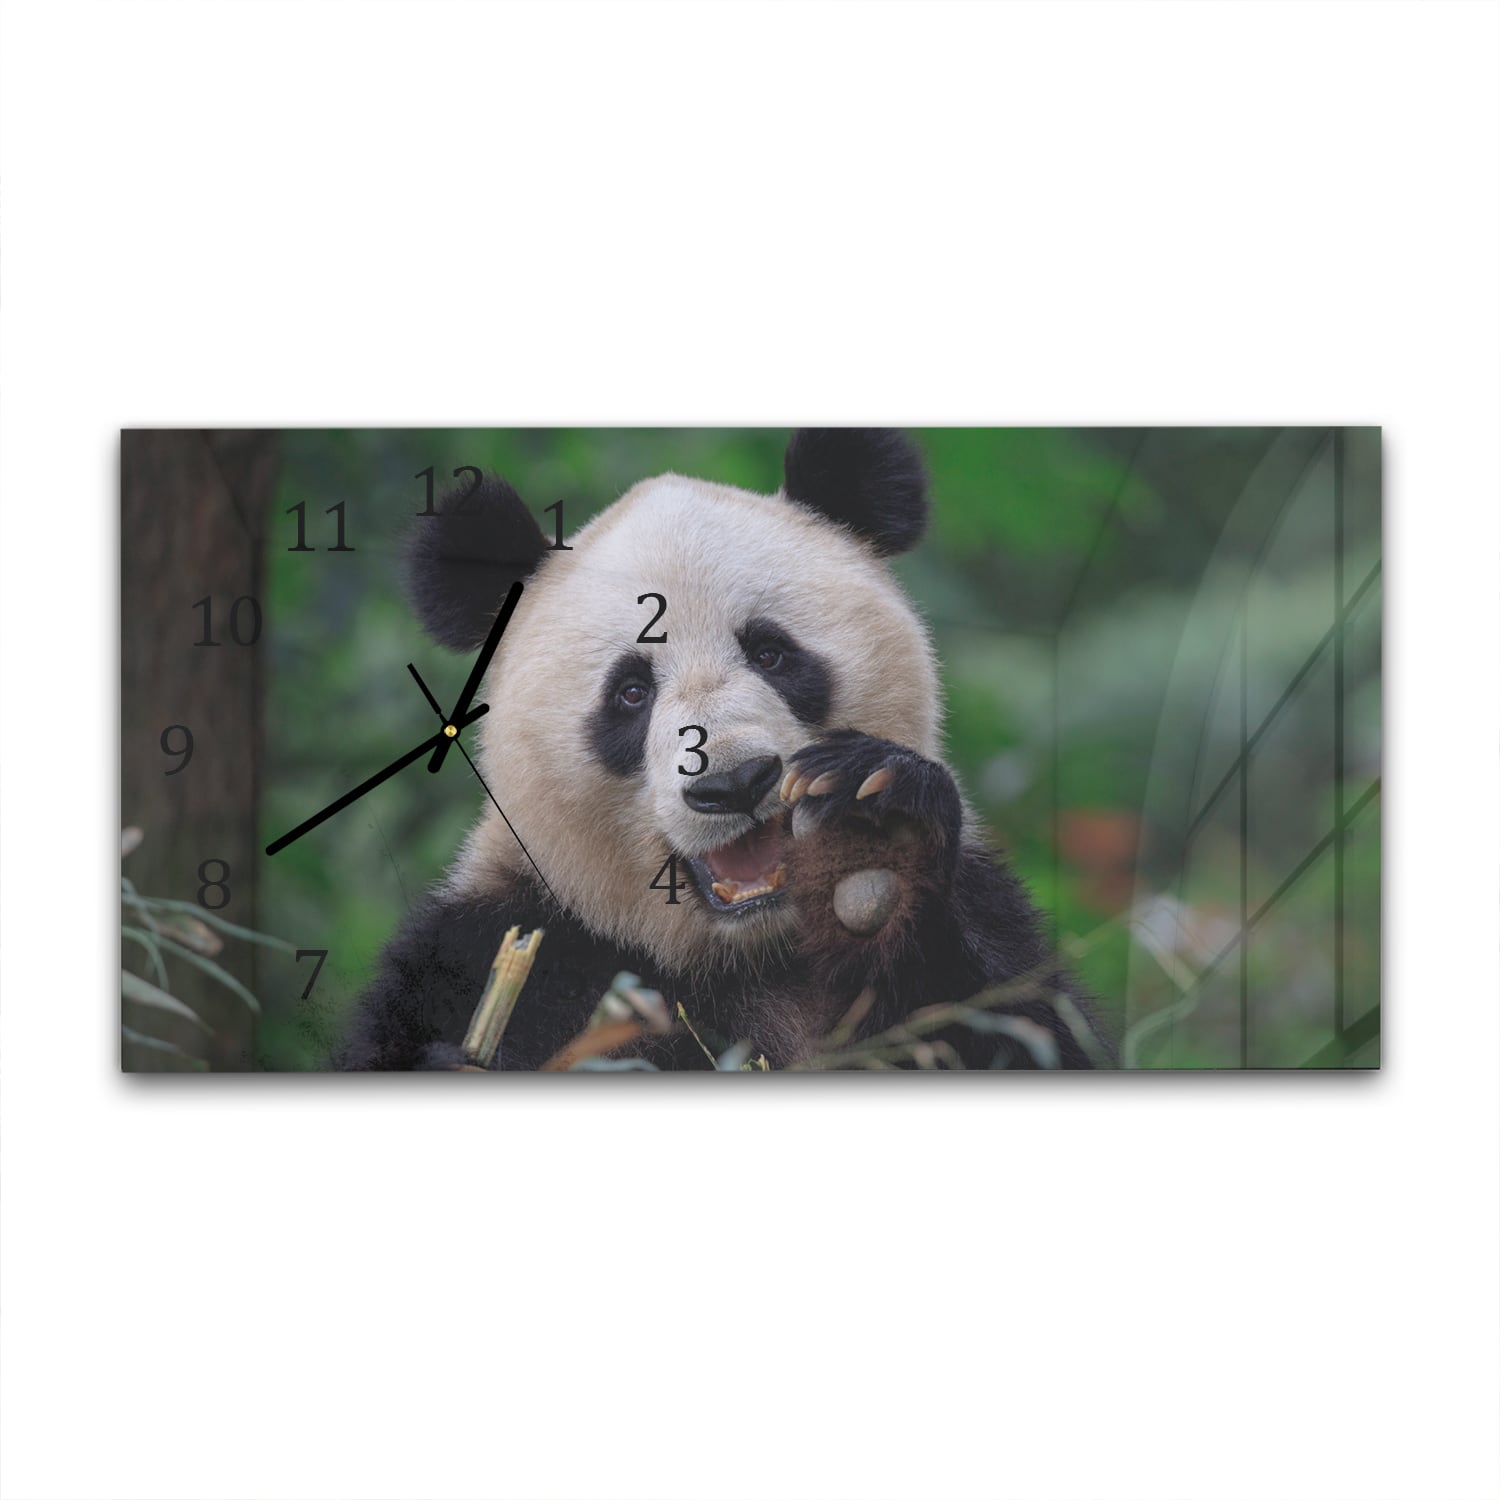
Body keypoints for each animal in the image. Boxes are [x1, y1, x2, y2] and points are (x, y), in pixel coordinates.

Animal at [334, 429, 1110, 1071]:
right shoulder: (495, 948)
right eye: (630, 693)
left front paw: (882, 840)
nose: (733, 783)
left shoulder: (990, 917)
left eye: (771, 653)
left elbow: (1021, 1029)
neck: (751, 956)